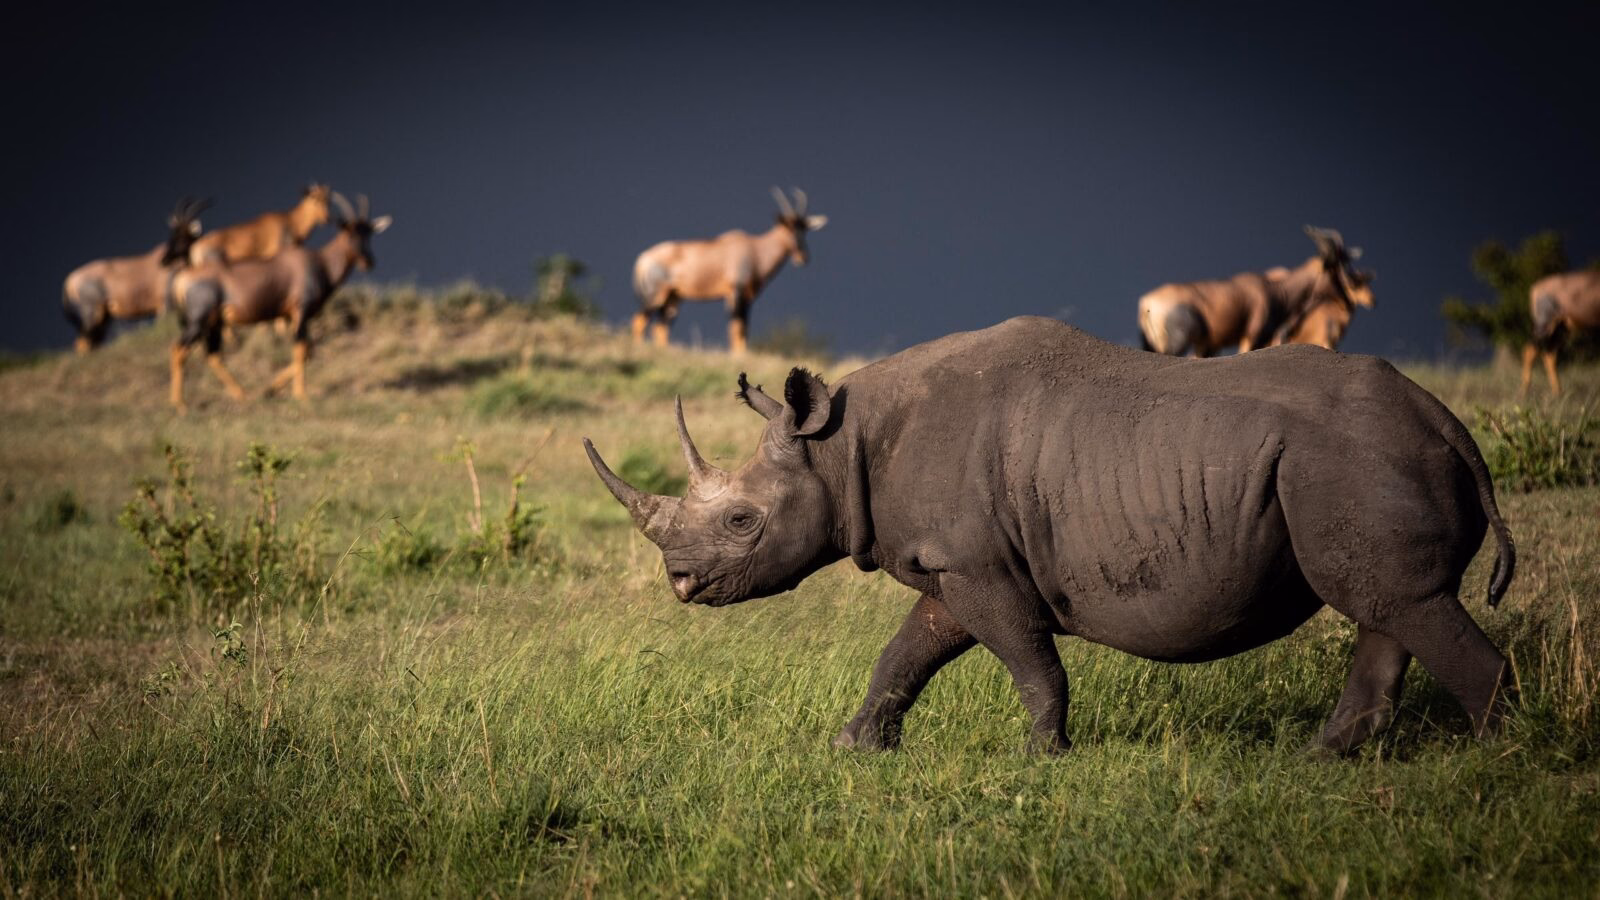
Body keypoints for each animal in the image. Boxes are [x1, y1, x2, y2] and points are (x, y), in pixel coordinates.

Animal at [61, 198, 210, 353]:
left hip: (103, 320)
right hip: (92, 316)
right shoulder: (165, 305)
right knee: (82, 344)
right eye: (174, 236)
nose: (164, 261)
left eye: (182, 237)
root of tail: (69, 281)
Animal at [168, 193, 390, 412]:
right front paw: (301, 395)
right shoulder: (301, 312)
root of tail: (183, 277)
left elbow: (309, 351)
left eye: (368, 233)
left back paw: (243, 395)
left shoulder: (292, 316)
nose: (368, 262)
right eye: (349, 233)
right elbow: (301, 350)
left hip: (215, 323)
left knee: (212, 355)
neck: (318, 262)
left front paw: (270, 389)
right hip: (198, 321)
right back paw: (180, 404)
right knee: (178, 350)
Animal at [585, 317, 1515, 754]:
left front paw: (1042, 755)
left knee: (1400, 602)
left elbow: (1030, 662)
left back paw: (1495, 766)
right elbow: (906, 654)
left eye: (742, 521)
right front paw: (854, 747)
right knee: (1391, 604)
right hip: (1358, 463)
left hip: (1352, 460)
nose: (679, 582)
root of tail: (1449, 423)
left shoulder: (980, 566)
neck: (841, 445)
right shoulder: (953, 564)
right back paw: (1323, 760)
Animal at [632, 187, 827, 356]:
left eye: (804, 228)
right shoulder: (736, 292)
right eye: (788, 227)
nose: (803, 258)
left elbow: (743, 328)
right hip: (655, 296)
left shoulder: (745, 297)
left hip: (673, 299)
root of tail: (643, 259)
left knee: (660, 328)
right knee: (639, 321)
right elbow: (737, 327)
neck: (754, 248)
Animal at [1138, 226, 1373, 356]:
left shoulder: (1210, 345)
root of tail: (1146, 302)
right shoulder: (1252, 336)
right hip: (1175, 342)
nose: (1346, 301)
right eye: (1336, 270)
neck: (1274, 290)